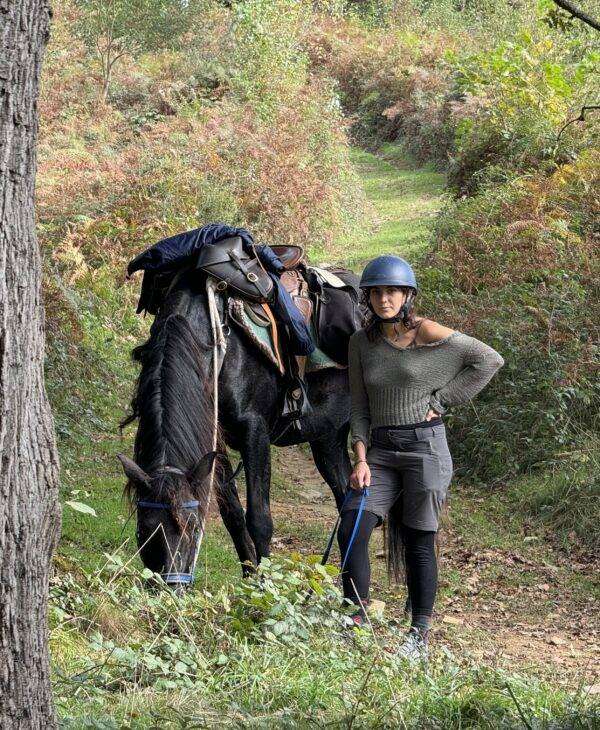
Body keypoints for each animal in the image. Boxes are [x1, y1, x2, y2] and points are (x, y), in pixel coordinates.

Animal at [119, 264, 358, 584]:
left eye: (193, 526)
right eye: (143, 530)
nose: (169, 586)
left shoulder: (254, 431)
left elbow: (259, 518)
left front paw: (264, 587)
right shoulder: (213, 440)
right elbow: (232, 514)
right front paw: (249, 579)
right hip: (328, 438)